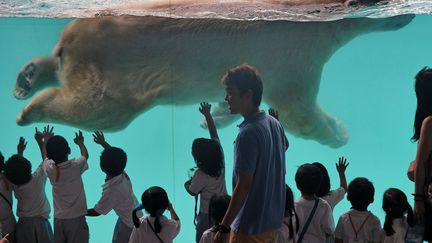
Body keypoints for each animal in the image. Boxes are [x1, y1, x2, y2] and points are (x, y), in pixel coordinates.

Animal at [12, 13, 412, 148]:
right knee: (99, 109)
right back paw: (29, 111)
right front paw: (340, 132)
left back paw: (27, 75)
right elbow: (298, 113)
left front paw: (217, 115)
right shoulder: (296, 54)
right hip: (119, 73)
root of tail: (71, 42)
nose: (407, 14)